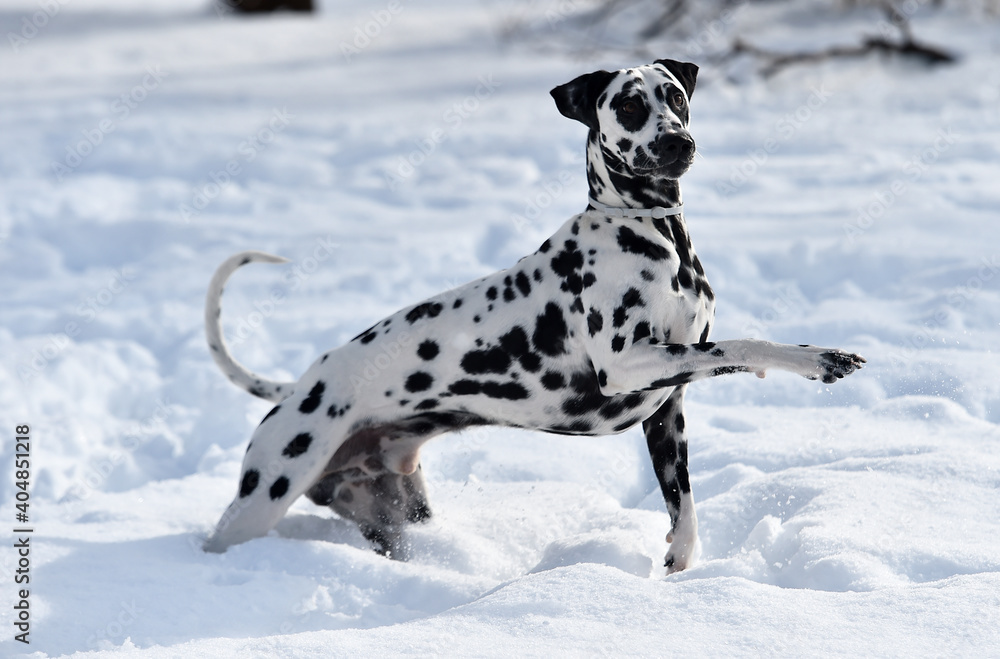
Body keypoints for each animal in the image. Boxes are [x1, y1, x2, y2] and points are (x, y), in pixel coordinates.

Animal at [205, 58, 868, 572]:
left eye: (675, 97)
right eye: (629, 106)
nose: (677, 142)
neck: (652, 235)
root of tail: (299, 387)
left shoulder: (666, 408)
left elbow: (683, 502)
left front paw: (680, 557)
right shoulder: (628, 365)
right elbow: (743, 345)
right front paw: (820, 359)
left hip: (397, 512)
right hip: (265, 494)